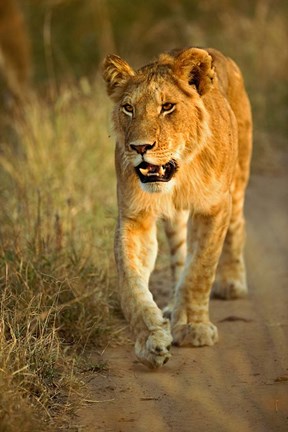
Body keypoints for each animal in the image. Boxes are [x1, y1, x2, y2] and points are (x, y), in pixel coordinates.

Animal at [102, 48, 252, 368]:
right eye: (128, 108)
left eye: (167, 107)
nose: (139, 147)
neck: (180, 173)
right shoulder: (135, 216)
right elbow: (131, 283)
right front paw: (151, 339)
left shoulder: (214, 208)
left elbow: (200, 270)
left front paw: (194, 328)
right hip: (176, 220)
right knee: (180, 257)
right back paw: (172, 306)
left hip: (238, 180)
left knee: (237, 226)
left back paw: (231, 282)